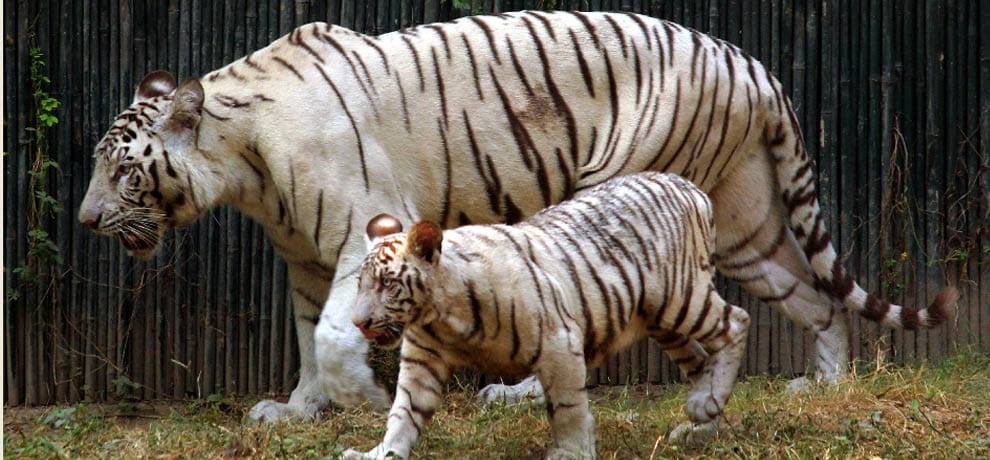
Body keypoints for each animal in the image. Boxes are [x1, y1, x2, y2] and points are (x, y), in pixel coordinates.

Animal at [78, 10, 957, 422]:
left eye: (121, 170)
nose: (85, 221)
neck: (243, 162)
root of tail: (754, 64)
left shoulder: (364, 229)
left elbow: (329, 336)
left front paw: (356, 394)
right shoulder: (300, 260)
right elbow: (303, 338)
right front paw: (296, 411)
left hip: (623, 192)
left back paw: (518, 394)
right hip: (745, 220)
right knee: (814, 298)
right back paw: (825, 383)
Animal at [344, 172, 753, 459]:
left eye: (387, 283)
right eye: (361, 284)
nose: (359, 323)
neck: (440, 317)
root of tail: (692, 189)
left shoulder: (559, 342)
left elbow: (568, 407)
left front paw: (572, 452)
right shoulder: (422, 359)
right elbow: (404, 413)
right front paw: (380, 453)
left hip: (680, 297)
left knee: (737, 321)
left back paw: (706, 405)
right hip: (662, 321)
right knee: (701, 361)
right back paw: (700, 421)